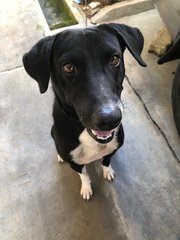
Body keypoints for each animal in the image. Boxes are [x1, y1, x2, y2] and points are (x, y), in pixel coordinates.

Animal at [22, 23, 146, 201]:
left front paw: (107, 171)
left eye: (114, 59)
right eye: (68, 67)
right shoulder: (74, 163)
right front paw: (86, 188)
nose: (110, 119)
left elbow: (106, 161)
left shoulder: (113, 148)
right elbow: (84, 175)